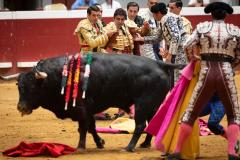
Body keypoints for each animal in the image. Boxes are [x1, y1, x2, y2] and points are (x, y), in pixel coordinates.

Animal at [16, 53, 184, 152]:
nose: (21, 107)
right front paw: (100, 143)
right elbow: (91, 127)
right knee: (152, 121)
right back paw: (145, 144)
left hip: (143, 104)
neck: (59, 76)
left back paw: (129, 147)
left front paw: (80, 147)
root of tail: (159, 64)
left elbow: (83, 128)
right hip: (152, 105)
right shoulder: (88, 110)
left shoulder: (81, 108)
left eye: (32, 87)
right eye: (19, 86)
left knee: (140, 125)